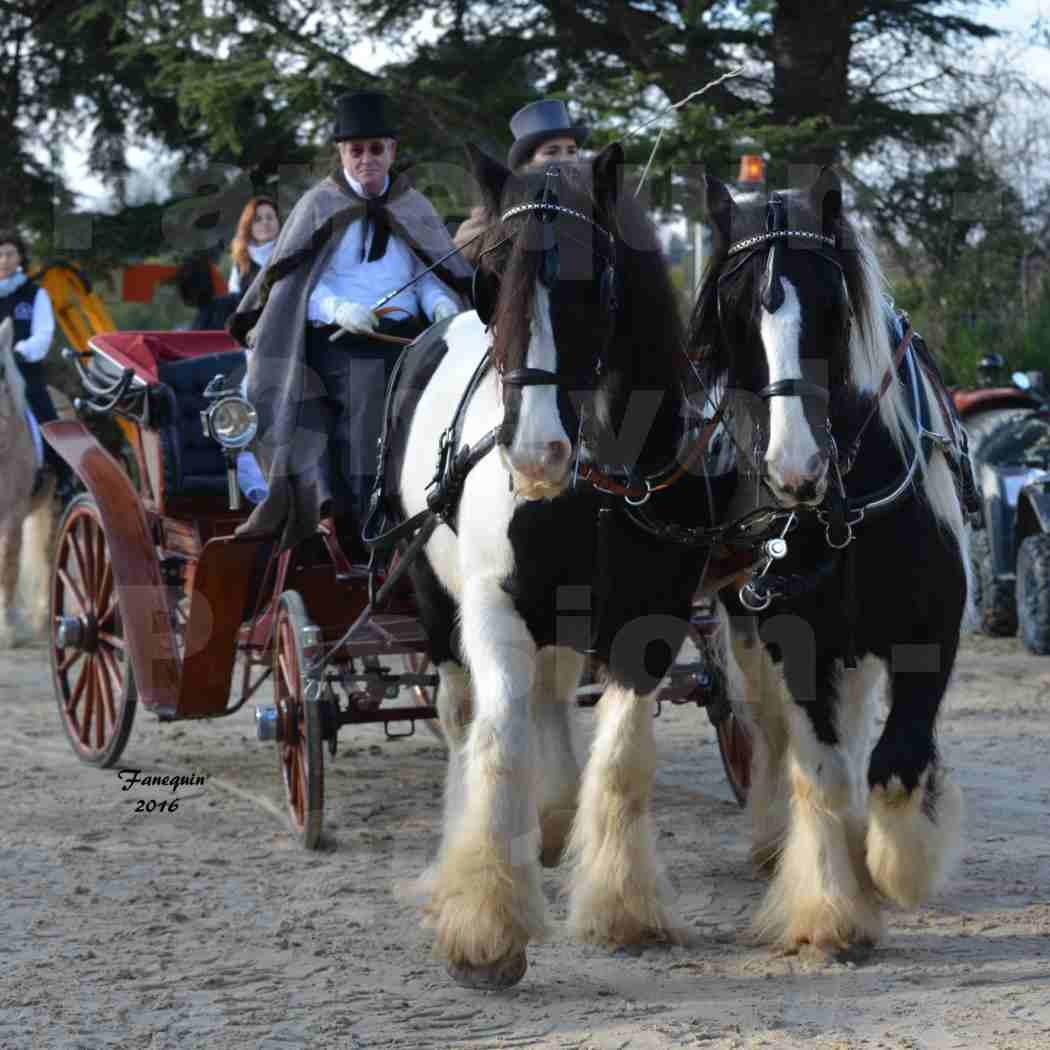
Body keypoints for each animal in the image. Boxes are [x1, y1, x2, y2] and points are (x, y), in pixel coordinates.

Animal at [384, 145, 730, 982]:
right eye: (490, 271)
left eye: (592, 276)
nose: (534, 453)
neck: (595, 482)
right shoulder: (493, 606)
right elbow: (498, 740)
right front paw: (485, 922)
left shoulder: (652, 618)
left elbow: (623, 758)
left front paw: (623, 906)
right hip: (434, 600)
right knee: (461, 716)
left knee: (550, 698)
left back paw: (551, 823)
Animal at [692, 170, 970, 953]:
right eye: (732, 312)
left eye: (830, 306)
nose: (795, 468)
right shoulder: (794, 637)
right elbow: (821, 769)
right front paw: (832, 905)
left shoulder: (931, 634)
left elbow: (896, 763)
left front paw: (897, 865)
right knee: (769, 728)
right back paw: (772, 839)